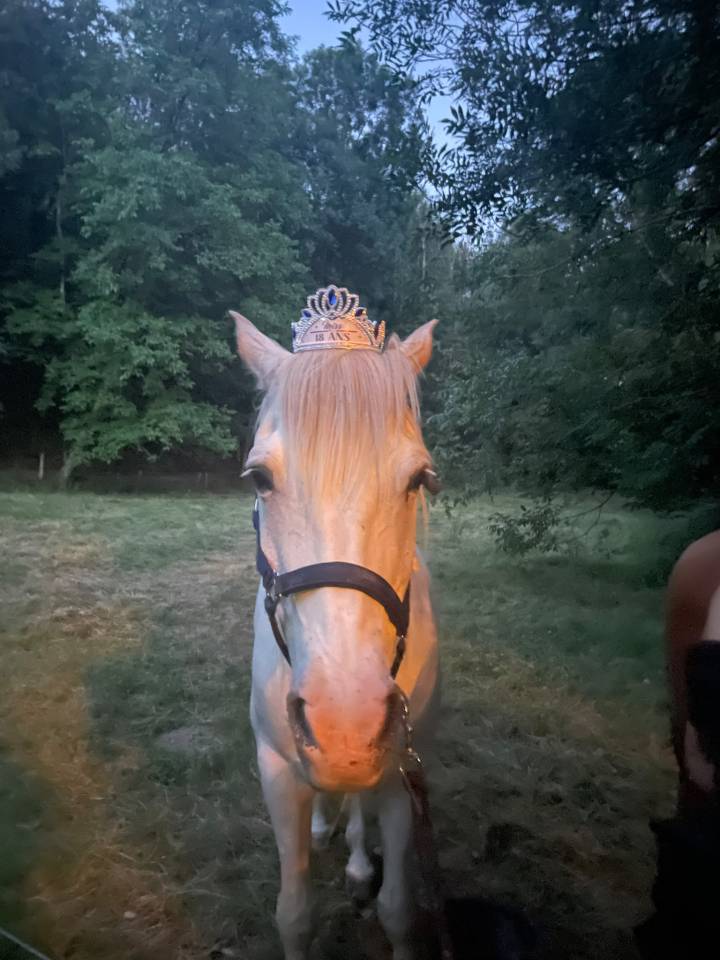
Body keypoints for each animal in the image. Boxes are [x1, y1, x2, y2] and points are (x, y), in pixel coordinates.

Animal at [232, 297, 441, 960]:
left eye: (419, 480)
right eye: (259, 479)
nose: (344, 724)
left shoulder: (399, 771)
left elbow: (400, 908)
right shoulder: (276, 768)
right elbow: (294, 913)